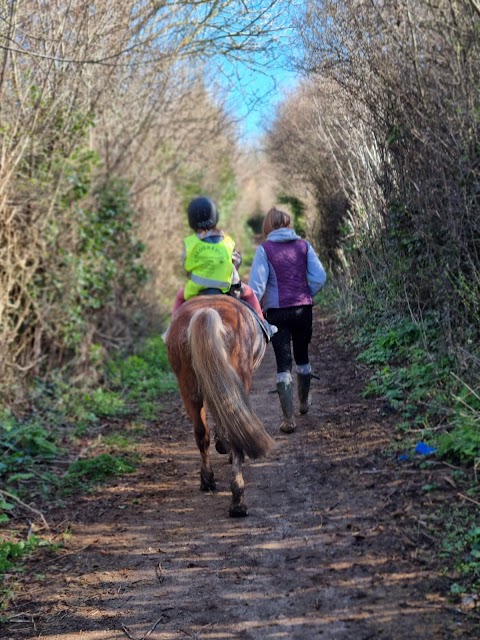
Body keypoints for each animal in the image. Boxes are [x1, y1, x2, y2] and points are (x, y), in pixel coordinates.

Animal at [165, 296, 274, 516]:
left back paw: (207, 479)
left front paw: (220, 444)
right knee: (234, 432)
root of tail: (206, 312)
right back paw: (238, 500)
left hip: (189, 387)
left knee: (201, 432)